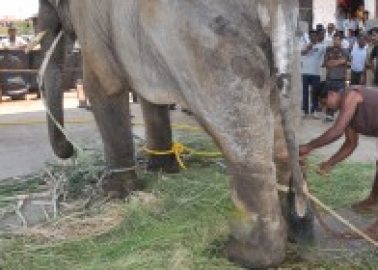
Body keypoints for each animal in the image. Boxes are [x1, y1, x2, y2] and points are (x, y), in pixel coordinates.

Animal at [35, 1, 314, 268]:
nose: (69, 149)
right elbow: (149, 97)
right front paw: (162, 170)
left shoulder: (91, 20)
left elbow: (103, 84)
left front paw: (114, 193)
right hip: (287, 57)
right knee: (281, 141)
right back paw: (297, 232)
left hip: (212, 47)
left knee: (246, 150)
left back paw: (244, 255)